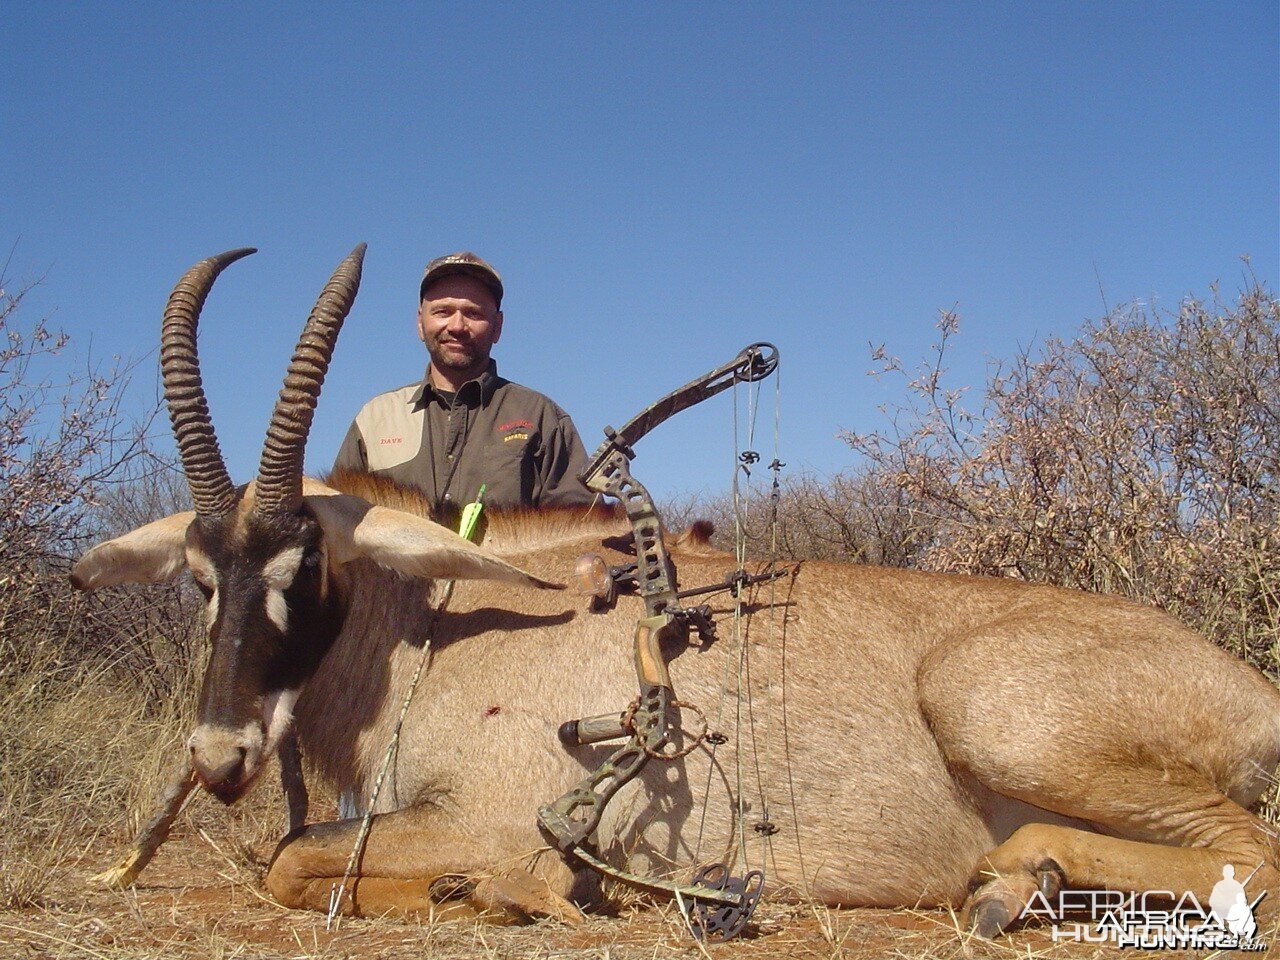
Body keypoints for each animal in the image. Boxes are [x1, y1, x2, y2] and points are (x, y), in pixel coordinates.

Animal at [72, 248, 1280, 942]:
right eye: (199, 578)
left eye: (305, 567)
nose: (220, 755)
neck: (433, 626)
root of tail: (1249, 689)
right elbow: (293, 853)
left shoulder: (484, 813)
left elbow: (292, 861)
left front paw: (509, 892)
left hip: (988, 708)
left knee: (1252, 850)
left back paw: (1011, 877)